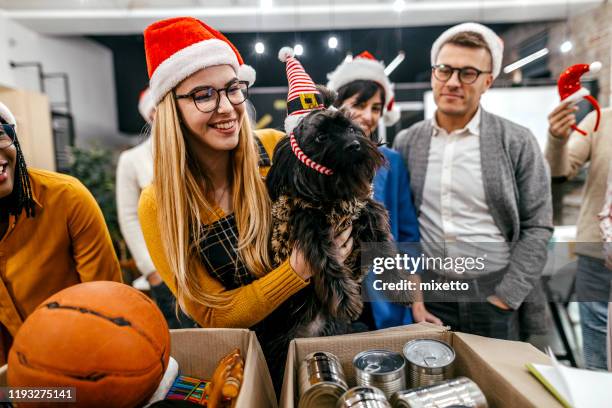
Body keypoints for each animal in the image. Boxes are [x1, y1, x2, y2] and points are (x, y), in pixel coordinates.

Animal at [264, 107, 390, 340]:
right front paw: (347, 302)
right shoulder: (313, 232)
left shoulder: (366, 209)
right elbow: (328, 265)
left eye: (351, 129)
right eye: (321, 137)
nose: (354, 145)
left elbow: (384, 245)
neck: (333, 194)